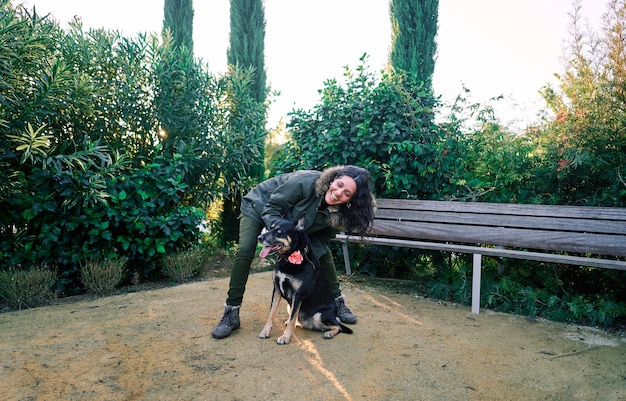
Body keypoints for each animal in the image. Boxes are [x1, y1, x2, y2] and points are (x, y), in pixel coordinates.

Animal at [255, 216, 352, 344]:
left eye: (279, 231)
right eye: (270, 228)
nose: (259, 238)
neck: (288, 258)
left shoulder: (298, 295)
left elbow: (292, 318)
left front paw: (285, 337)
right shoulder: (276, 290)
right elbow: (271, 313)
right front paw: (266, 331)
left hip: (319, 316)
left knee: (338, 326)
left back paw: (330, 333)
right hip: (290, 306)